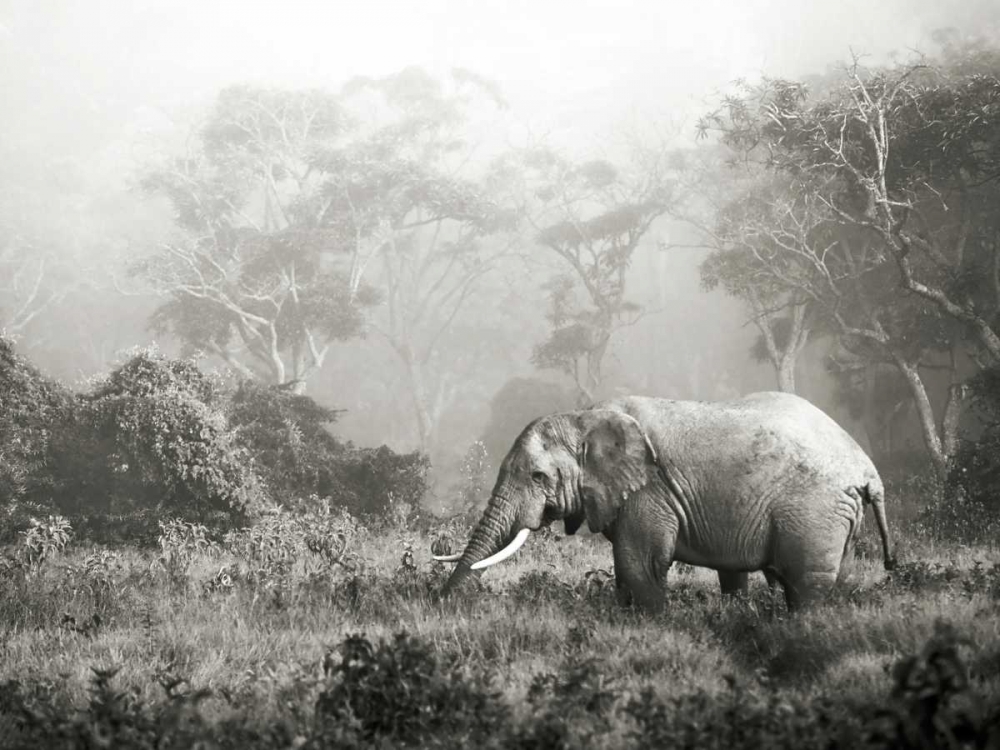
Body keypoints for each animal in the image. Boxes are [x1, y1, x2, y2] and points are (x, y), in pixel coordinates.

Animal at [435, 392, 895, 612]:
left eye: (538, 477)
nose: (440, 602)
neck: (584, 417)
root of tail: (867, 469)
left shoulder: (650, 491)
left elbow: (639, 564)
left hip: (815, 510)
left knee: (806, 585)